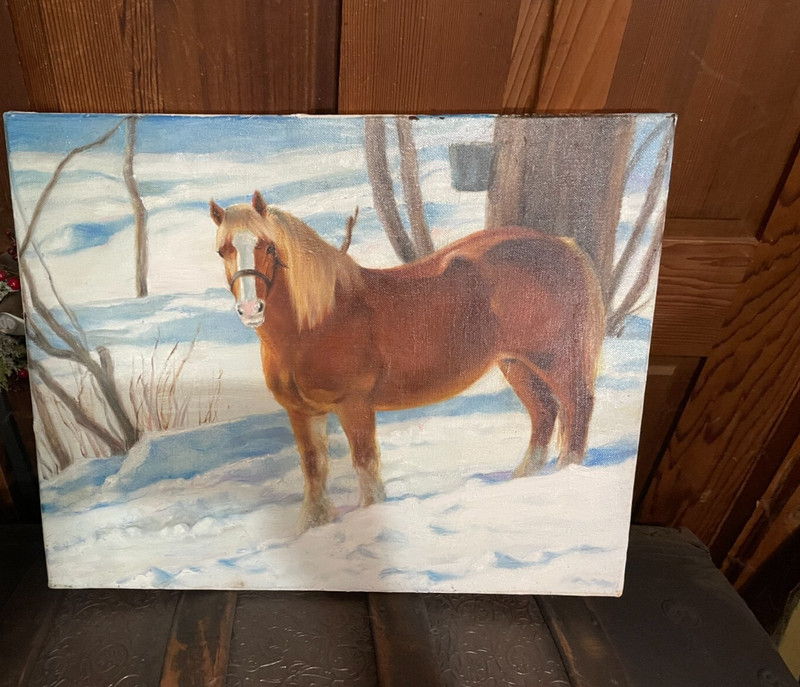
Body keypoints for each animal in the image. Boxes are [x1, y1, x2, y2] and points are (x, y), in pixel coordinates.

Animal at [211, 191, 605, 532]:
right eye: (222, 250)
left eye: (268, 246)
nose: (251, 309)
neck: (318, 320)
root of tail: (565, 246)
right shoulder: (302, 412)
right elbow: (314, 469)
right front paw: (313, 525)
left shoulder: (355, 405)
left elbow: (365, 464)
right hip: (515, 364)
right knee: (544, 413)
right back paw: (522, 479)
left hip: (555, 359)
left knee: (577, 407)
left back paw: (566, 475)